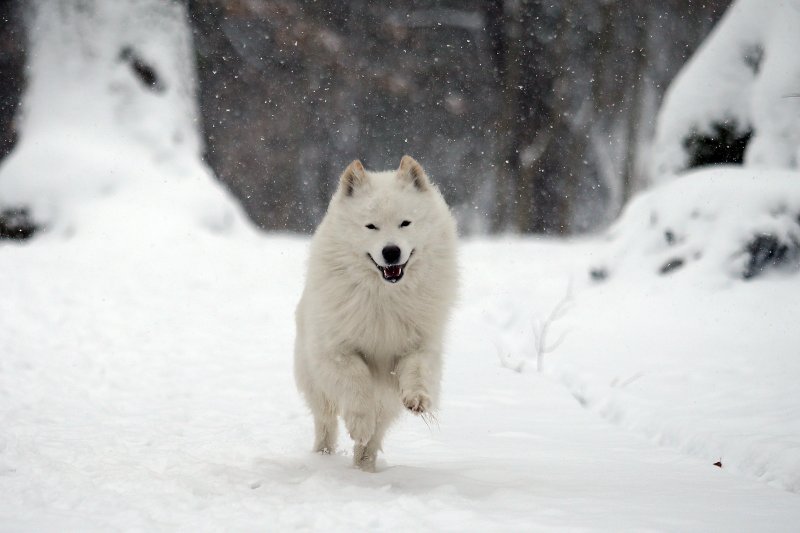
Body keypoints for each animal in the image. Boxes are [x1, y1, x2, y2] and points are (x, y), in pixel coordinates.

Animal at [292, 154, 456, 470]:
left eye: (405, 223)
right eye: (371, 226)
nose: (391, 252)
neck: (385, 294)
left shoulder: (419, 344)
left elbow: (417, 370)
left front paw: (418, 398)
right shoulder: (336, 351)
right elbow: (356, 382)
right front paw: (359, 423)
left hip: (387, 403)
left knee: (375, 435)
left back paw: (364, 466)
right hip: (315, 382)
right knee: (326, 421)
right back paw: (324, 455)